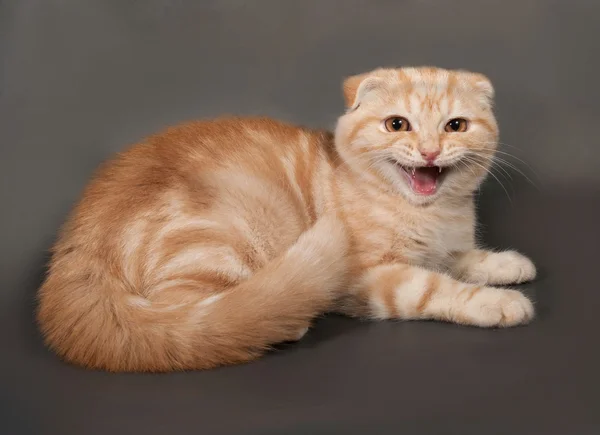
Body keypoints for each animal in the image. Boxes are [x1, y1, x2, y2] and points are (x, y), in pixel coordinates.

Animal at [36, 66, 536, 372]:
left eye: (456, 126)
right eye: (397, 125)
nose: (430, 152)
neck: (429, 214)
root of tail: (78, 244)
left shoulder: (445, 247)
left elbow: (463, 259)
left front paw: (507, 264)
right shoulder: (369, 276)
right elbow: (434, 287)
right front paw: (498, 303)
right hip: (224, 234)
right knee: (187, 318)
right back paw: (283, 317)